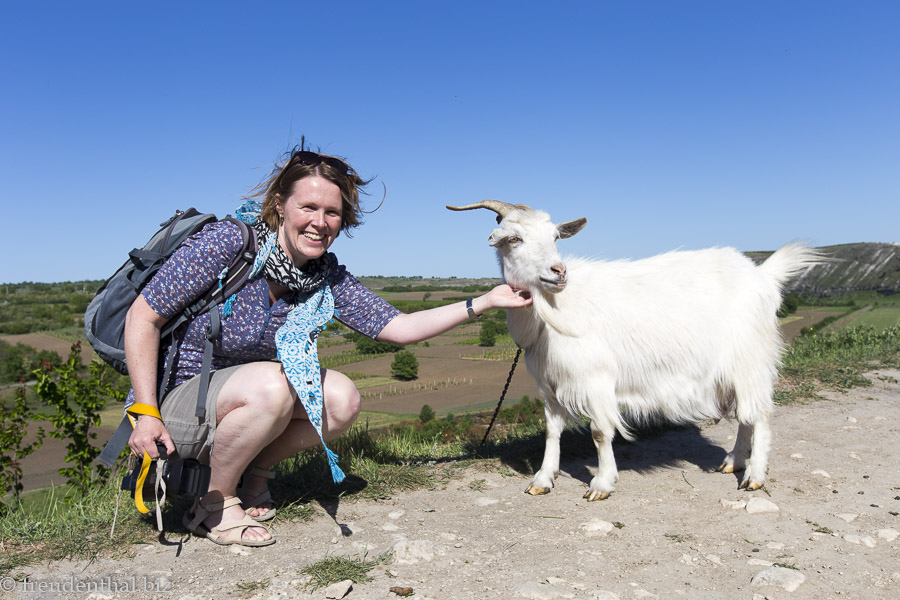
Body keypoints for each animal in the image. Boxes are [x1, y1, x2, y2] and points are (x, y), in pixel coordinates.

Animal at [447, 200, 819, 501]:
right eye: (514, 239)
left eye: (555, 238)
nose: (559, 271)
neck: (551, 312)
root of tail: (762, 275)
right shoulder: (549, 384)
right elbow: (553, 430)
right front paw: (542, 479)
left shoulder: (595, 379)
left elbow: (600, 432)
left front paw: (601, 484)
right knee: (745, 415)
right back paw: (732, 462)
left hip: (750, 358)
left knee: (760, 415)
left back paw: (754, 476)